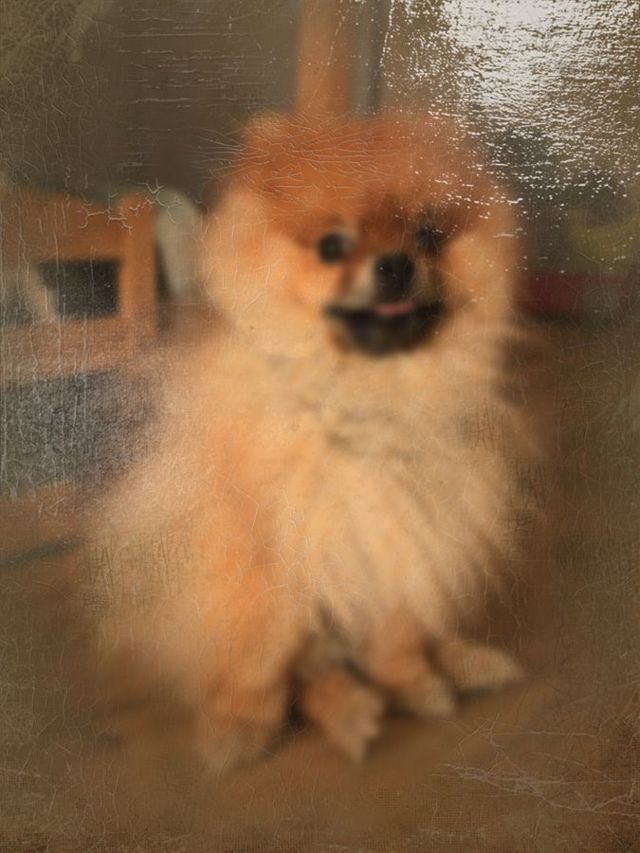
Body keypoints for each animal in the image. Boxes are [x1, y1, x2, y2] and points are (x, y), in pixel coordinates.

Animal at [83, 112, 537, 772]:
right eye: (331, 247)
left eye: (429, 233)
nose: (395, 264)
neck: (355, 403)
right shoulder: (261, 552)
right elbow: (262, 653)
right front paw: (240, 723)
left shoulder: (401, 532)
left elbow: (398, 630)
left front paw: (411, 681)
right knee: (307, 672)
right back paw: (347, 708)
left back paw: (461, 664)